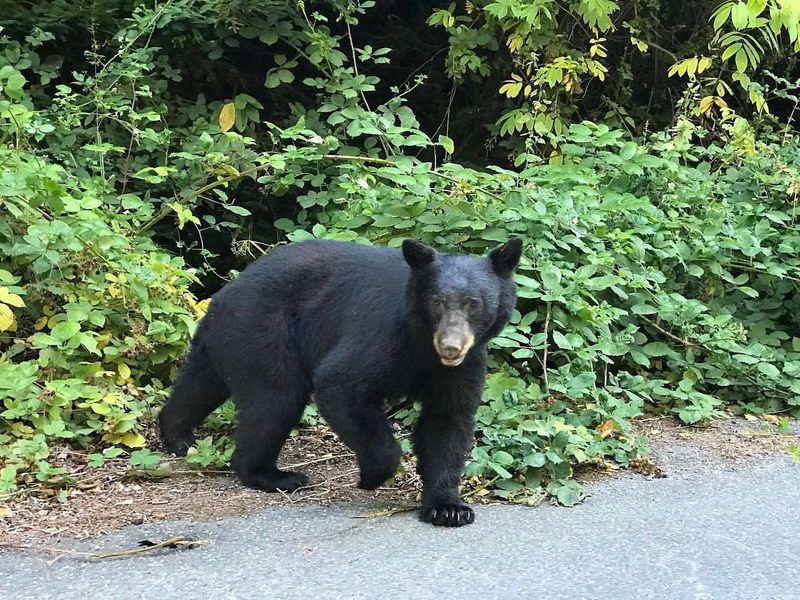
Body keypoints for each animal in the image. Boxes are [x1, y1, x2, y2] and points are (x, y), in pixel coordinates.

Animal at [159, 237, 520, 528]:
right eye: (437, 302)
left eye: (474, 303)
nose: (451, 346)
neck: (423, 347)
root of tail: (222, 295)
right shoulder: (383, 337)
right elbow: (341, 384)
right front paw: (372, 476)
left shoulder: (464, 366)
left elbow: (447, 422)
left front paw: (448, 507)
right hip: (263, 334)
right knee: (275, 402)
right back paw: (274, 475)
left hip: (226, 341)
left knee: (199, 385)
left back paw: (178, 436)